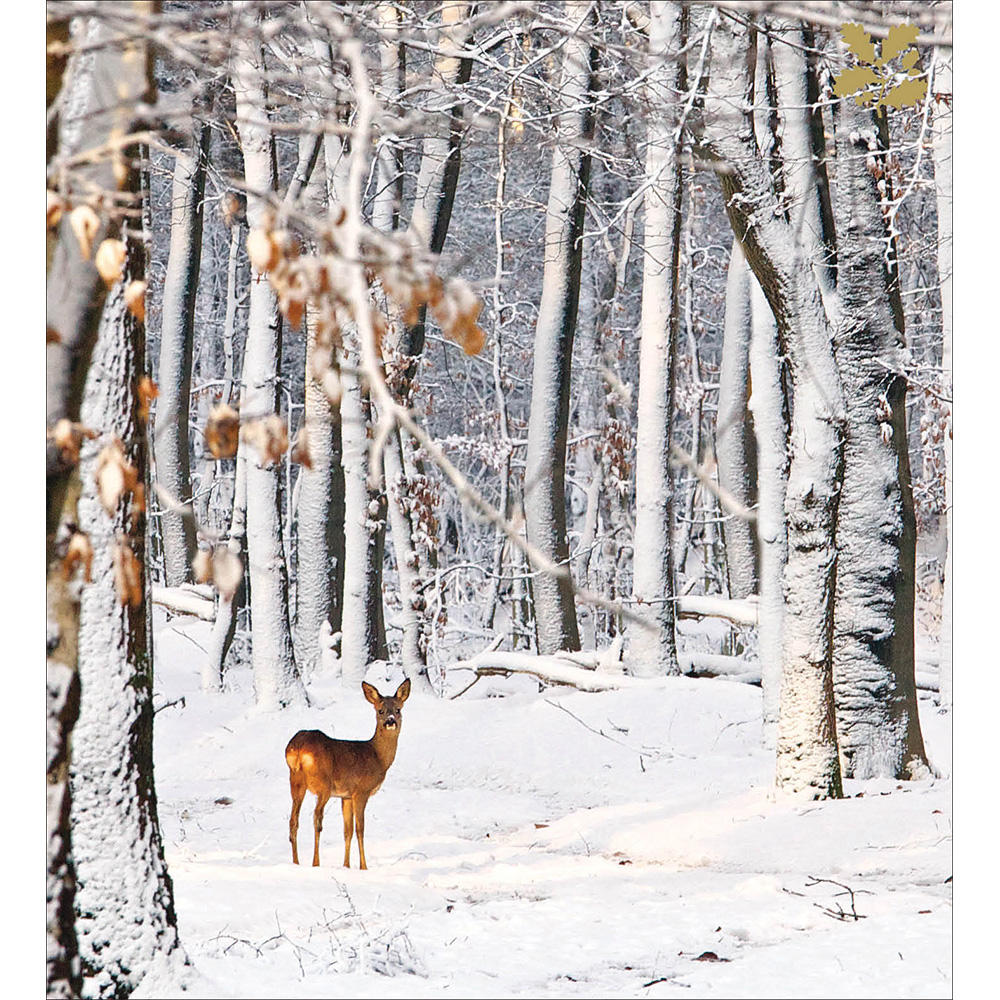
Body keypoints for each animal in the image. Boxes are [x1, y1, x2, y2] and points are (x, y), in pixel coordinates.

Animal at [285, 678, 410, 870]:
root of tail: (297, 747)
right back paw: (315, 863)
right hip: (323, 785)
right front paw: (363, 867)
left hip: (296, 781)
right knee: (317, 818)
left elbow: (347, 831)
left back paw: (296, 862)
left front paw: (346, 866)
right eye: (380, 710)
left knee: (293, 820)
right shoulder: (361, 791)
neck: (378, 758)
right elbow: (360, 829)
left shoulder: (346, 796)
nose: (390, 721)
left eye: (398, 709)